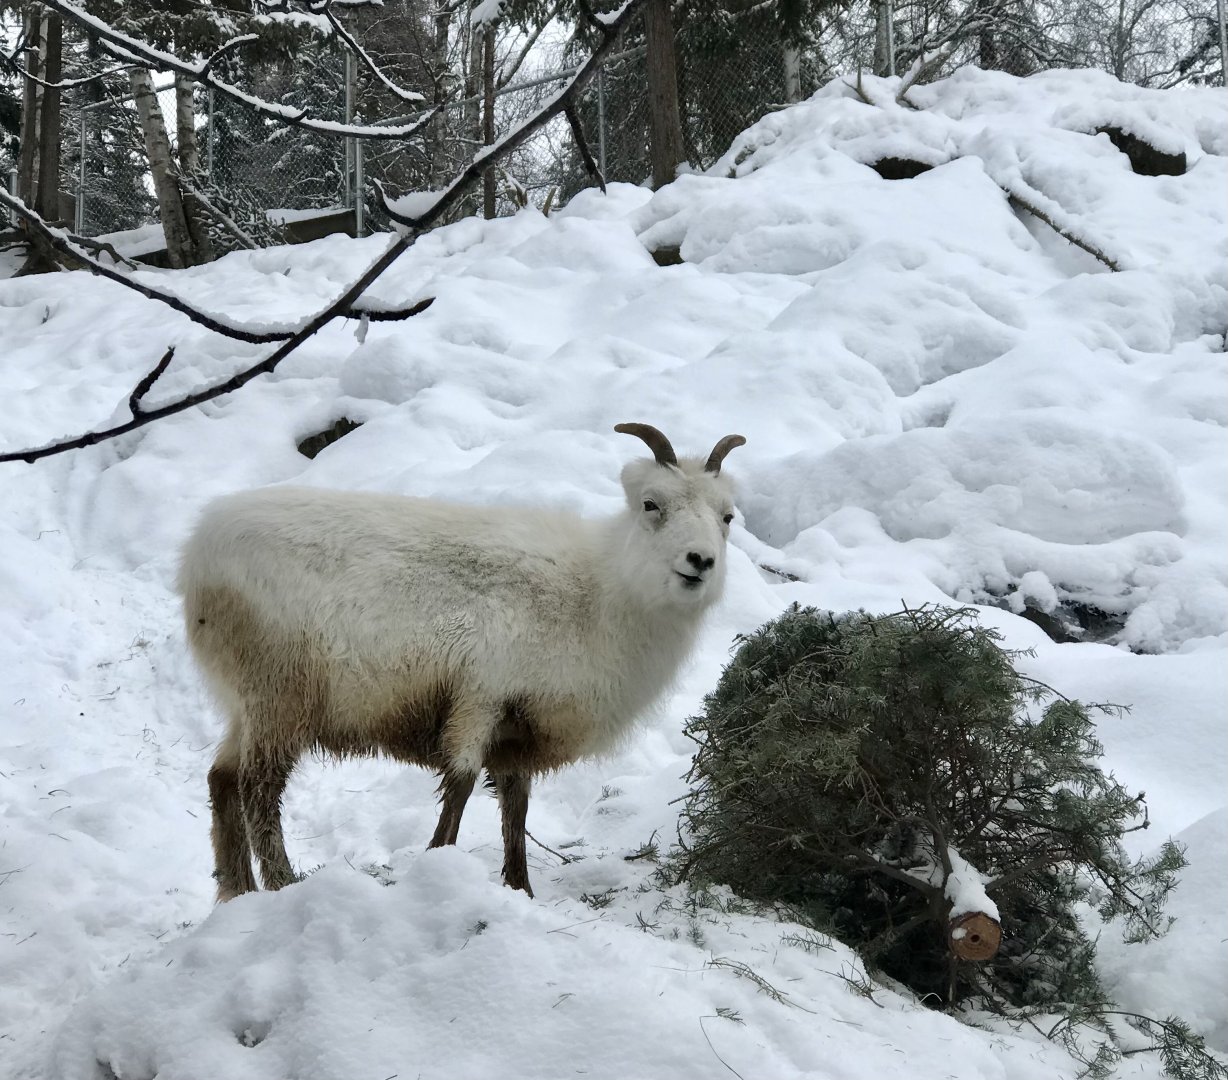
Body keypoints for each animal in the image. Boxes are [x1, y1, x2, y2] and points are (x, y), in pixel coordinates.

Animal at [180, 423, 746, 901]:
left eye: (727, 518)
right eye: (652, 504)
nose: (700, 562)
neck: (600, 593)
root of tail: (199, 552)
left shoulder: (518, 727)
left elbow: (515, 806)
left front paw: (520, 890)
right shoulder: (481, 694)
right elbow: (461, 784)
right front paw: (438, 866)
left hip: (245, 699)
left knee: (220, 778)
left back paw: (237, 892)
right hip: (278, 690)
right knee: (258, 788)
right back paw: (282, 885)